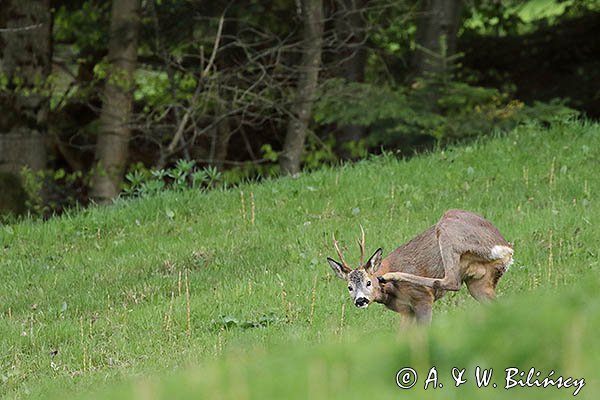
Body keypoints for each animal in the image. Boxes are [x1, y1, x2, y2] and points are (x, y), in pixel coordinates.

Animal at [326, 211, 512, 324]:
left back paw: (392, 275)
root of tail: (505, 247)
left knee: (452, 281)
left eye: (368, 282)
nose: (360, 300)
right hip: (480, 282)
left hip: (447, 229)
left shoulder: (422, 299)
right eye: (349, 287)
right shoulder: (406, 311)